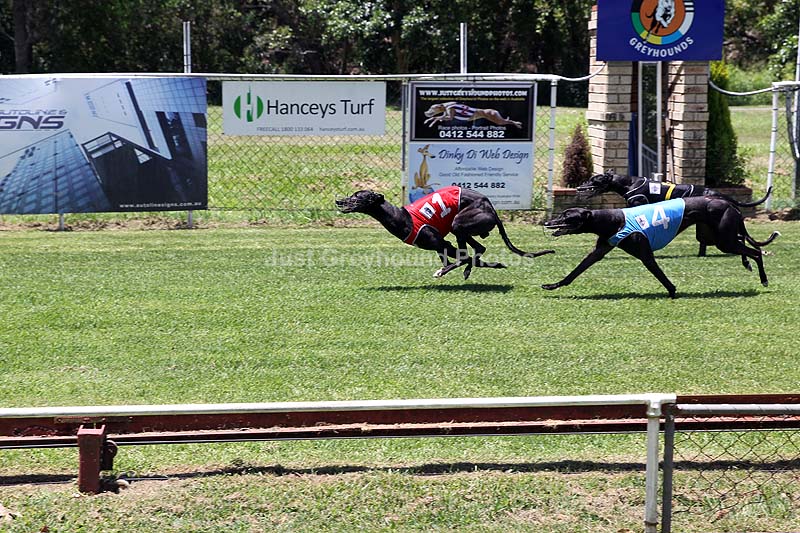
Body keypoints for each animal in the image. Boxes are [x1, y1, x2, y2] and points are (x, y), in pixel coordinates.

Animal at [335, 186, 554, 279]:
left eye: (357, 197)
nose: (338, 201)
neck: (401, 217)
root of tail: (491, 207)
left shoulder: (442, 244)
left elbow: (461, 259)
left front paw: (443, 271)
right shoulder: (440, 247)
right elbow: (464, 259)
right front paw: (494, 265)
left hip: (459, 224)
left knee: (469, 253)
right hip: (464, 230)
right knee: (479, 249)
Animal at [541, 196, 780, 298]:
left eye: (566, 216)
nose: (547, 222)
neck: (612, 219)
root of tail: (730, 204)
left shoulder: (645, 254)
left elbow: (659, 274)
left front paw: (673, 292)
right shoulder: (599, 250)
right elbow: (576, 271)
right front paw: (553, 286)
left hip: (723, 240)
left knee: (756, 251)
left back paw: (763, 278)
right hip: (716, 236)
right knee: (744, 244)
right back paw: (748, 264)